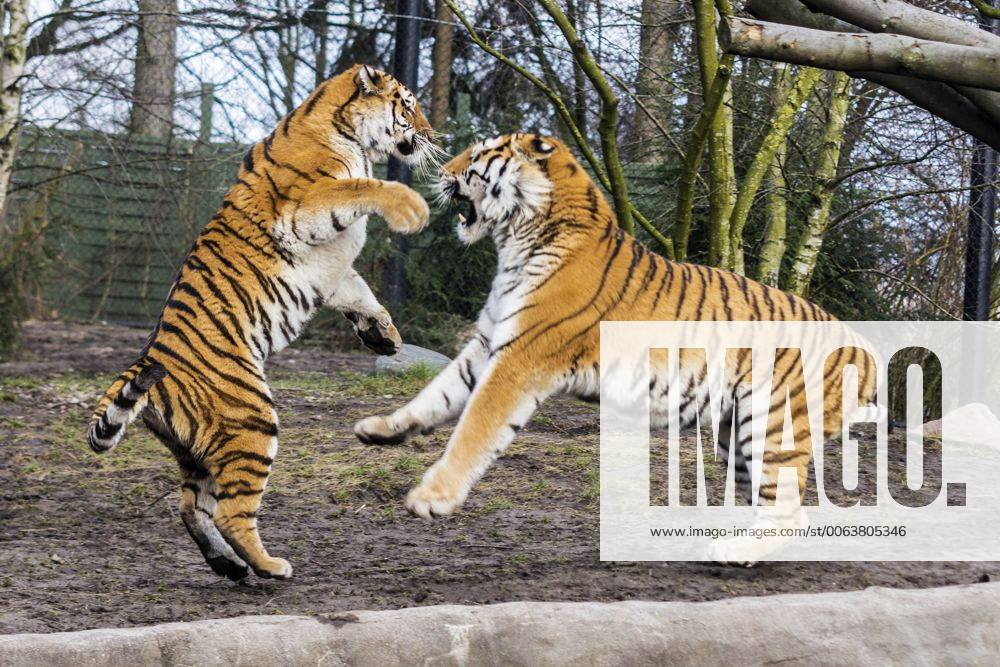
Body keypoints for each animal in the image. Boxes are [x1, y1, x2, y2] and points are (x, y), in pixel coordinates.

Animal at [86, 64, 435, 581]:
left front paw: (385, 338)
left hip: (195, 456)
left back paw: (229, 567)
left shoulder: (334, 270)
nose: (433, 136)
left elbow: (363, 296)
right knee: (232, 513)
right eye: (408, 105)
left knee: (190, 507)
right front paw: (412, 208)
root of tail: (145, 365)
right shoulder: (307, 209)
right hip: (252, 422)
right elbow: (360, 187)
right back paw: (270, 567)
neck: (348, 134)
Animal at [354, 133, 877, 565]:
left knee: (789, 509)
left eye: (478, 155)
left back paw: (732, 552)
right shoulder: (487, 345)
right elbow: (432, 397)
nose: (440, 171)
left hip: (772, 425)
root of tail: (862, 347)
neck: (519, 240)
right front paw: (380, 429)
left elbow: (473, 430)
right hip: (736, 433)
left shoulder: (518, 358)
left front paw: (431, 498)